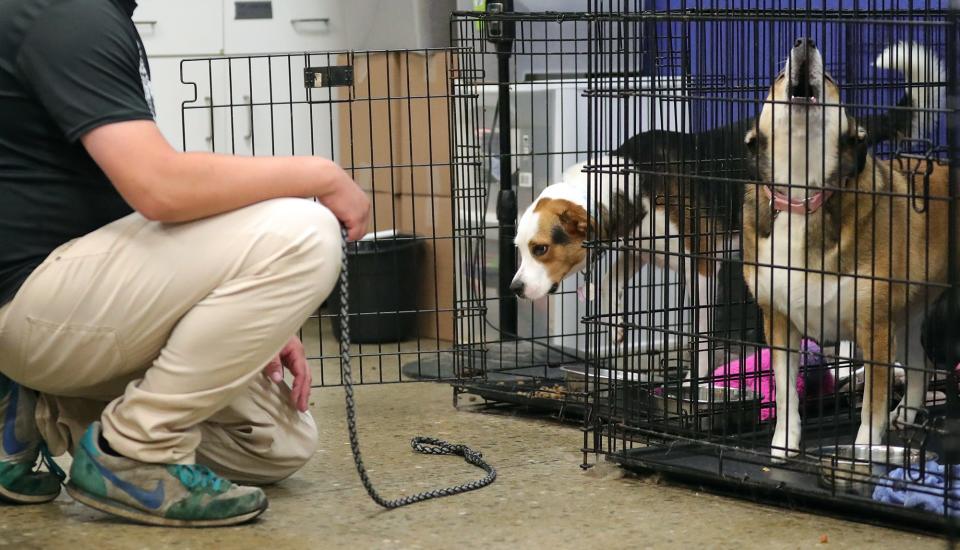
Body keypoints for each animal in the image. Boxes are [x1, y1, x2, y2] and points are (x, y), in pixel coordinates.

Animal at [740, 38, 948, 460]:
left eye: (833, 79)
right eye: (779, 76)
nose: (804, 42)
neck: (803, 196)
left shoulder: (875, 329)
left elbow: (872, 405)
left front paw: (865, 452)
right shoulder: (779, 323)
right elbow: (786, 394)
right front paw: (784, 446)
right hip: (908, 312)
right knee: (921, 363)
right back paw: (907, 413)